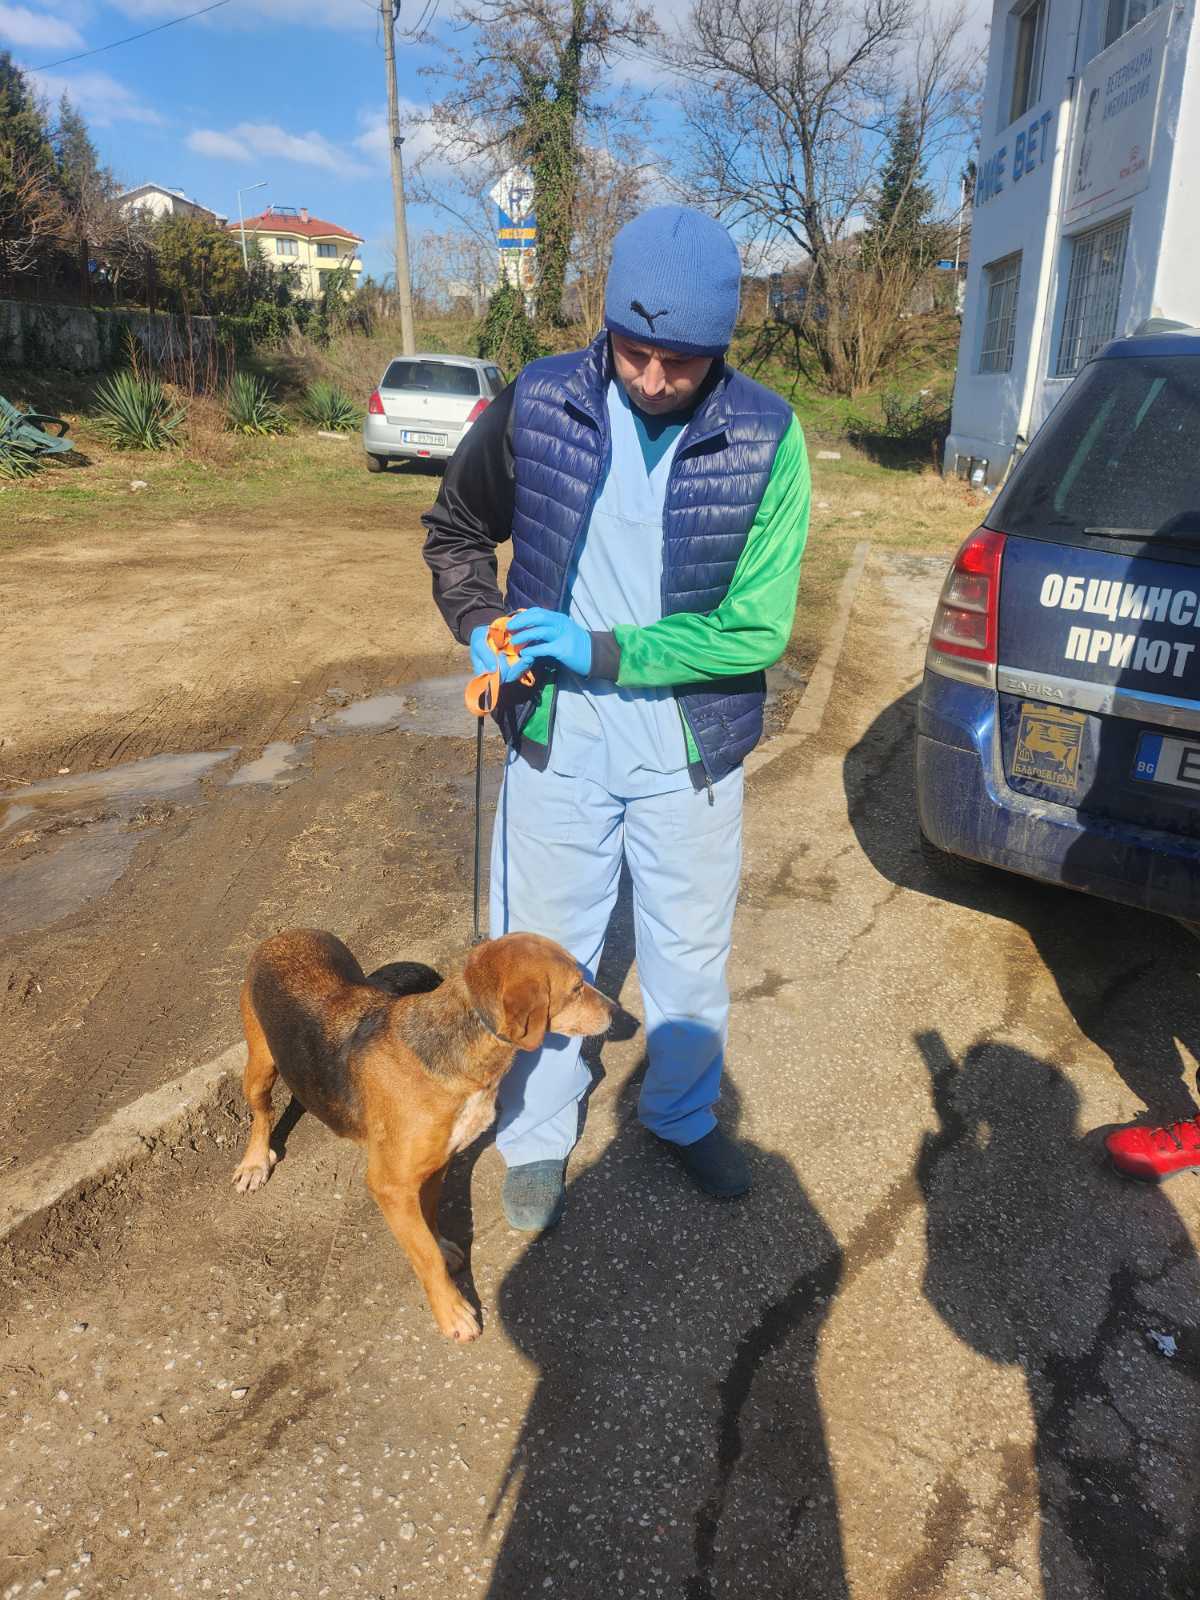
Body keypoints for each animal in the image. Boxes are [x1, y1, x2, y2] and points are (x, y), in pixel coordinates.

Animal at [232, 934, 614, 1344]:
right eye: (576, 988)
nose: (617, 1012)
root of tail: (284, 935)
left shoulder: (437, 1163)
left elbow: (430, 1222)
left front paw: (443, 1247)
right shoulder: (390, 1187)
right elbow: (425, 1256)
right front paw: (453, 1311)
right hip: (260, 1067)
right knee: (262, 1113)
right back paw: (255, 1162)